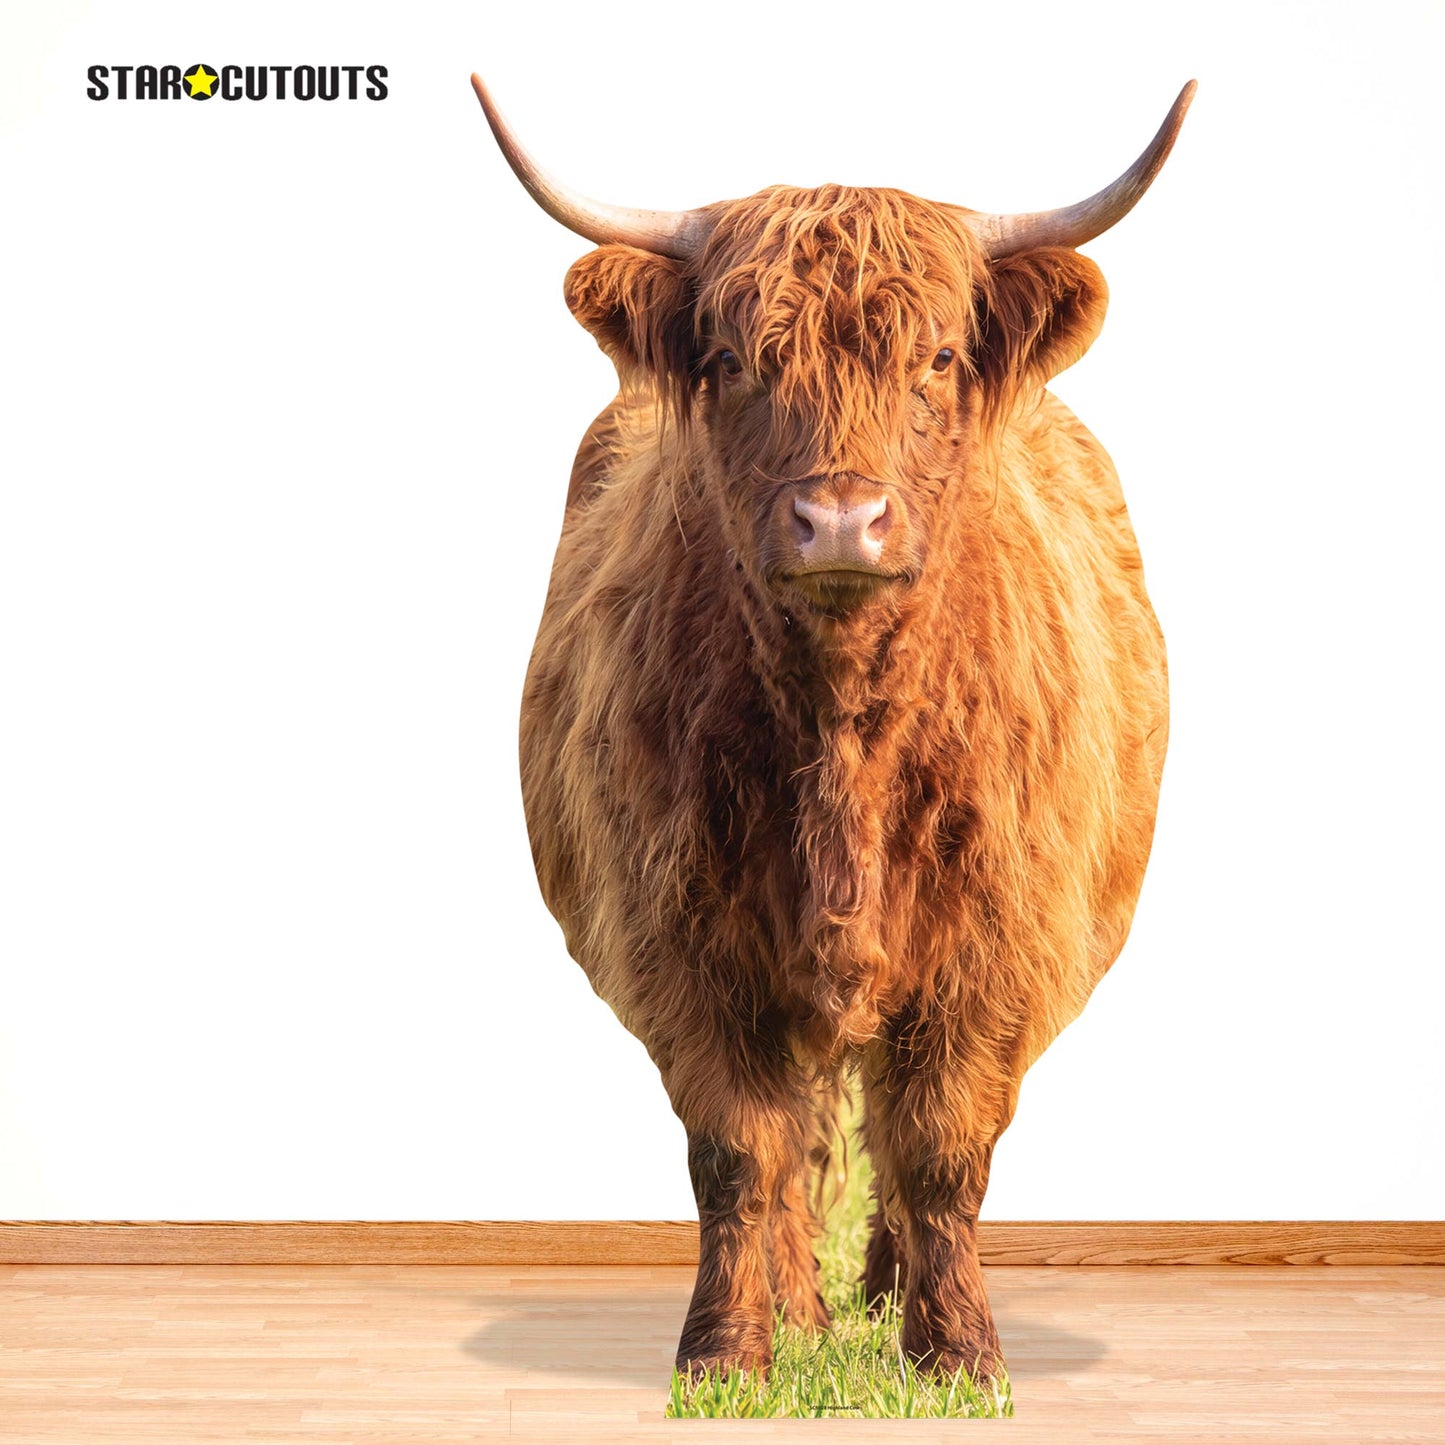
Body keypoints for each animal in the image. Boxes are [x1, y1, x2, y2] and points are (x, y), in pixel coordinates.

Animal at [473, 74, 1189, 1383]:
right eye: (729, 357)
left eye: (939, 355)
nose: (841, 518)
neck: (843, 729)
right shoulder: (678, 935)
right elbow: (739, 1151)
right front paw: (725, 1351)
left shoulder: (994, 942)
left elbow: (941, 1147)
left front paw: (957, 1353)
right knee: (803, 1134)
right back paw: (805, 1309)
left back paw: (886, 1292)